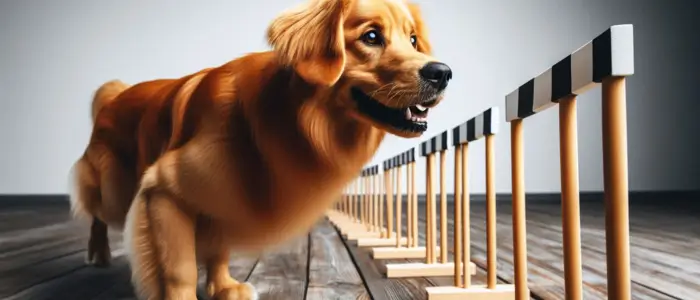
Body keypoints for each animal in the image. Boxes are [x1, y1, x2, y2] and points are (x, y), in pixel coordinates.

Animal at [69, 0, 454, 298]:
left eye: (414, 40)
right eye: (371, 36)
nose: (443, 72)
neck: (293, 118)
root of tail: (116, 93)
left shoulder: (223, 197)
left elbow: (219, 249)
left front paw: (223, 286)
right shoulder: (163, 189)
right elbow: (179, 269)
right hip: (114, 189)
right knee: (96, 214)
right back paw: (98, 252)